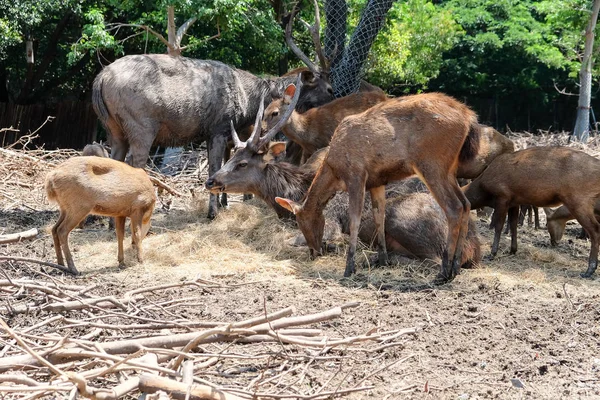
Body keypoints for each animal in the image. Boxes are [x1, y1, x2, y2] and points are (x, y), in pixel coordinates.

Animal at [270, 92, 480, 280]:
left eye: (303, 222)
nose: (314, 251)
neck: (334, 170)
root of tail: (469, 118)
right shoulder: (377, 181)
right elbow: (379, 215)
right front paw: (382, 259)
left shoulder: (356, 175)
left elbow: (355, 220)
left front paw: (349, 268)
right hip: (449, 169)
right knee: (466, 204)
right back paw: (455, 267)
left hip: (431, 163)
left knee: (454, 207)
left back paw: (444, 272)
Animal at [464, 146, 600, 278]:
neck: (483, 189)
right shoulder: (514, 201)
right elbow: (513, 225)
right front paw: (513, 250)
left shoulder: (502, 196)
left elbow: (499, 226)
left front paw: (492, 253)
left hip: (578, 199)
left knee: (595, 230)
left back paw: (589, 270)